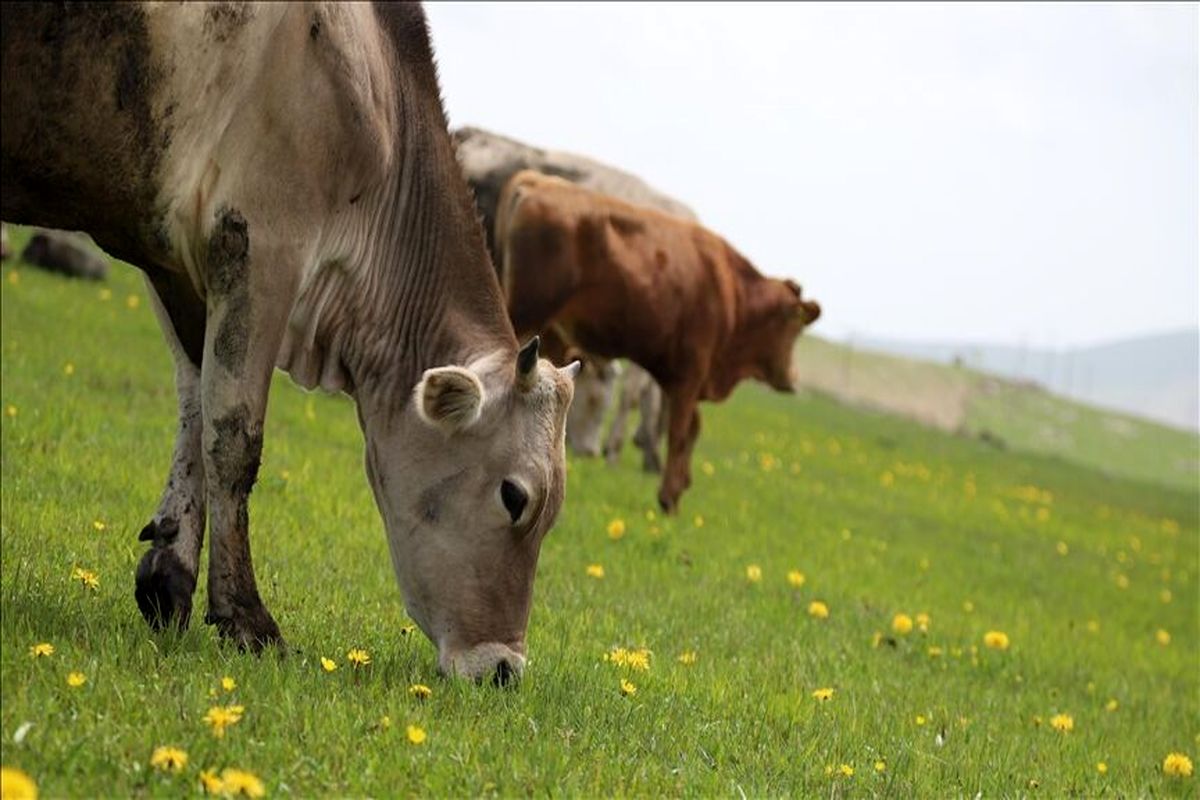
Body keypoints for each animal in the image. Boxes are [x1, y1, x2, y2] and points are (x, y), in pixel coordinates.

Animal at [0, 3, 580, 686]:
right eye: (515, 496)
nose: (504, 668)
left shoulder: (177, 260)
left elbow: (194, 409)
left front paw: (169, 579)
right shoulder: (261, 240)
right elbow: (233, 438)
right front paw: (247, 619)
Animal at [492, 169, 820, 513]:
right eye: (794, 326)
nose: (793, 379)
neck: (731, 291)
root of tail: (537, 181)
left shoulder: (676, 376)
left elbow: (690, 428)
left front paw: (677, 484)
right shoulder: (691, 374)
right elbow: (679, 431)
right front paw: (668, 496)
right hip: (527, 313)